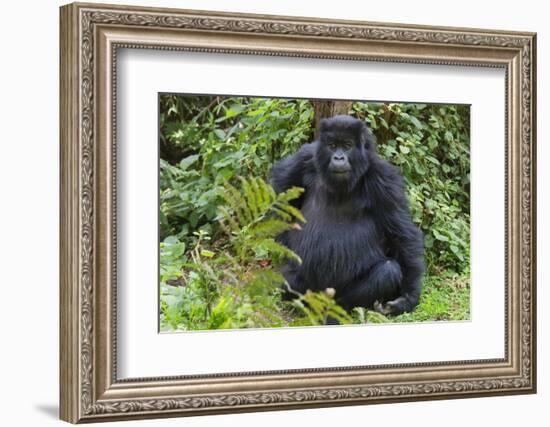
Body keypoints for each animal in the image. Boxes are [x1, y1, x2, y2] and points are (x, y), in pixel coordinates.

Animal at [272, 115, 426, 316]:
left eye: (347, 145)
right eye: (332, 145)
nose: (338, 157)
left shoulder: (384, 177)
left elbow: (402, 234)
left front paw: (407, 298)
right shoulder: (305, 157)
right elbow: (280, 187)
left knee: (388, 270)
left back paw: (338, 308)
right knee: (288, 278)